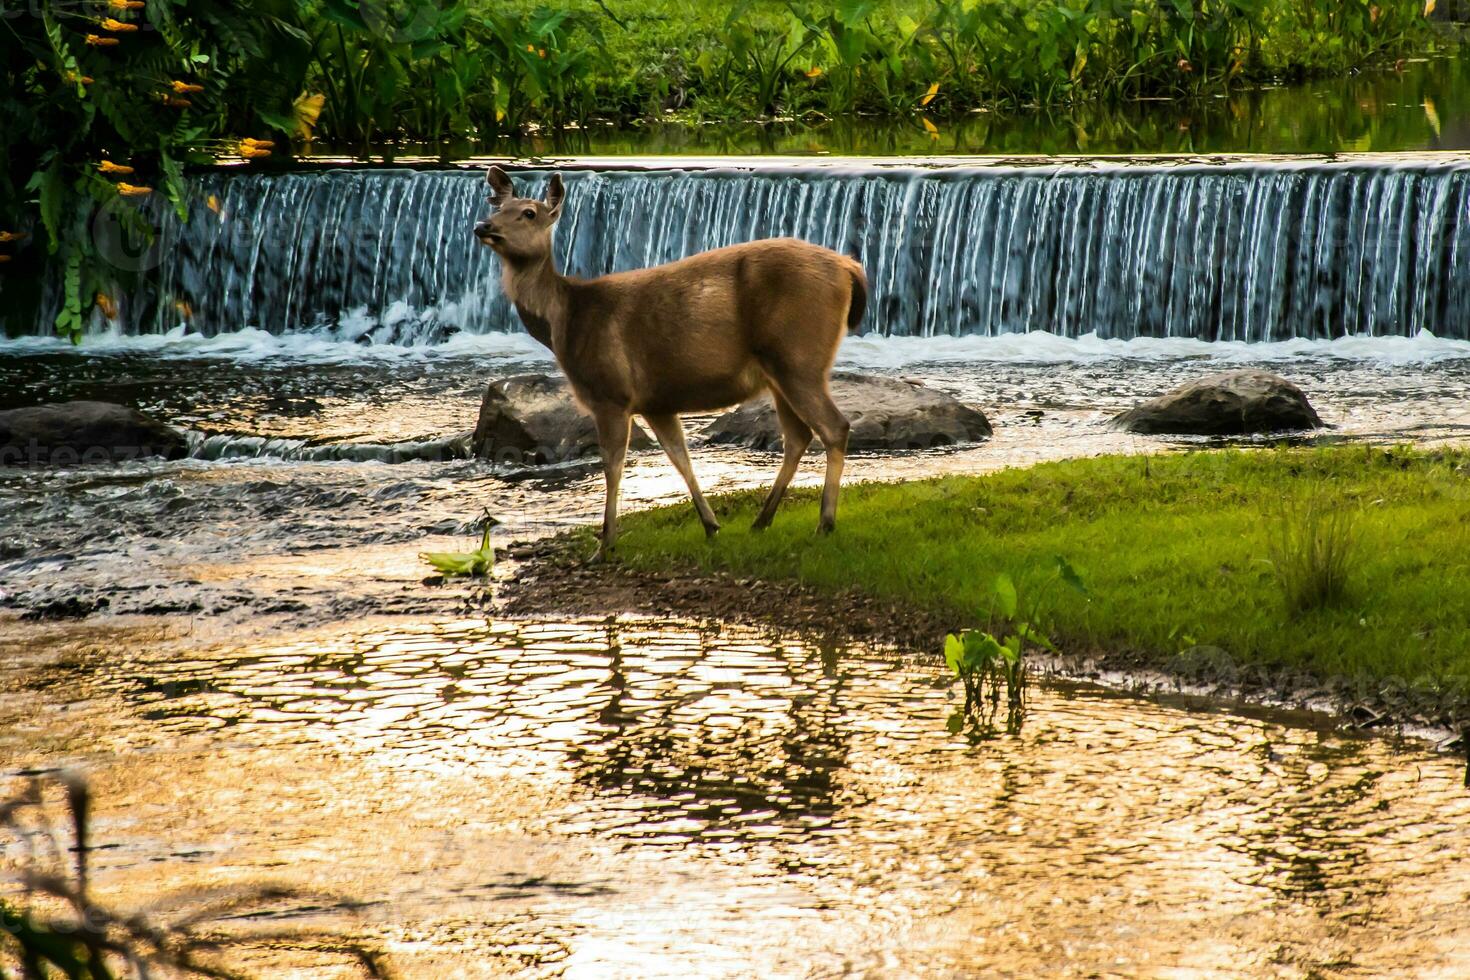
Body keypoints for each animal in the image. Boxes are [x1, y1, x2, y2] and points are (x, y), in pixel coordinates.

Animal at [470, 166, 864, 558]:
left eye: (529, 213)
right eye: (498, 207)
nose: (483, 226)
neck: (565, 322)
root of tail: (850, 267)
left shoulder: (611, 392)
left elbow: (613, 465)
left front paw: (606, 542)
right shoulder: (656, 402)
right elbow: (680, 457)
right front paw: (711, 525)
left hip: (798, 356)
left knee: (834, 427)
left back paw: (825, 523)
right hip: (781, 370)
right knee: (798, 436)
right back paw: (762, 520)